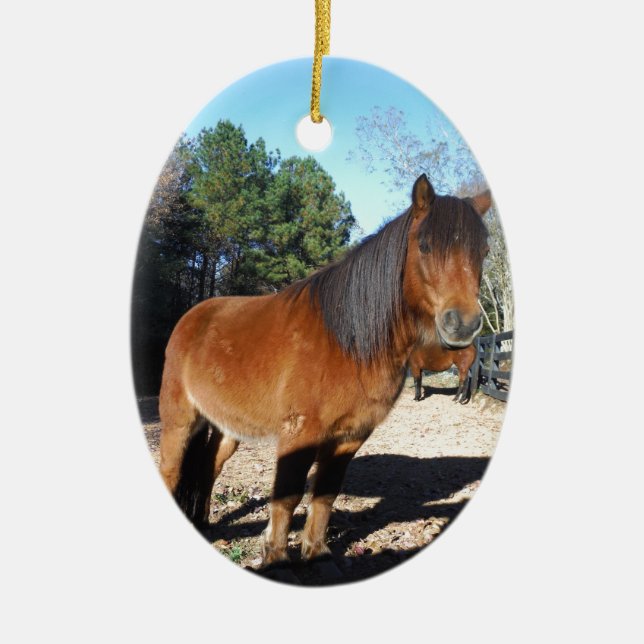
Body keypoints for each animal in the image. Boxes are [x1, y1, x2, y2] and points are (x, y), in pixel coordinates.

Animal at [158, 174, 491, 567]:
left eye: (484, 250)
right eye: (424, 246)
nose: (463, 324)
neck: (348, 341)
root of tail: (191, 318)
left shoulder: (350, 436)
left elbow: (325, 494)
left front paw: (316, 553)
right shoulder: (300, 434)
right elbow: (287, 497)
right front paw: (276, 558)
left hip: (227, 428)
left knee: (210, 467)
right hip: (179, 421)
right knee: (171, 471)